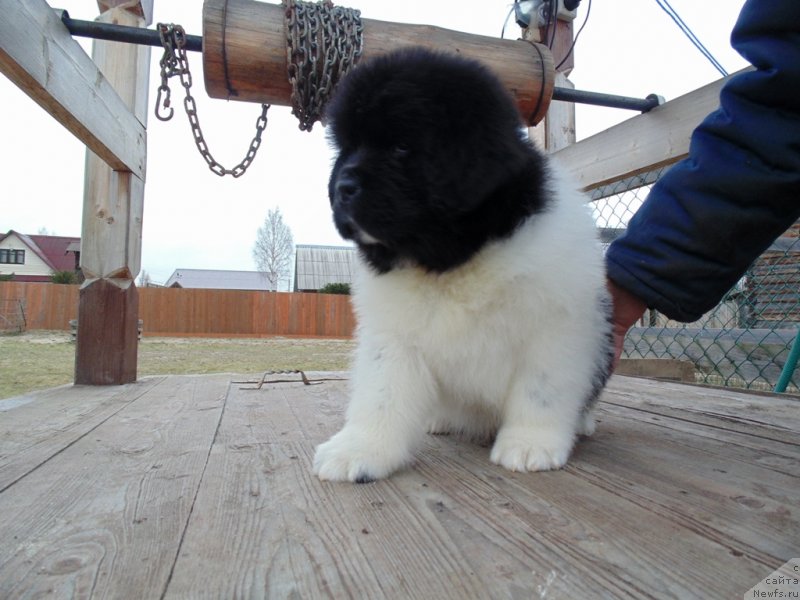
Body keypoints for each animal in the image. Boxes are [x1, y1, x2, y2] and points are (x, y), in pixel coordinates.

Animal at [314, 48, 612, 482]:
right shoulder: (394, 336)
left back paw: (582, 422)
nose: (341, 188)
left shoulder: (556, 328)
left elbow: (540, 390)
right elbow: (380, 394)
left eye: (401, 147)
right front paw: (359, 448)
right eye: (346, 149)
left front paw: (530, 443)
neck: (452, 260)